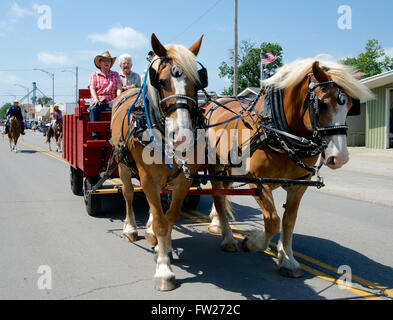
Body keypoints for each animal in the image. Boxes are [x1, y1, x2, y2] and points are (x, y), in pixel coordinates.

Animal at [108, 33, 204, 292]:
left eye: (197, 82)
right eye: (160, 81)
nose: (183, 137)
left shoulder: (183, 181)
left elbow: (169, 217)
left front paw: (165, 249)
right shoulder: (147, 178)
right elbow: (161, 221)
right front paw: (164, 270)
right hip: (122, 165)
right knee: (129, 194)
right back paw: (131, 229)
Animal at [204, 59, 372, 278]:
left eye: (351, 106)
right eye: (322, 103)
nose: (340, 157)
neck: (278, 131)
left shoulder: (299, 184)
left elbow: (289, 221)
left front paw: (287, 259)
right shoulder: (258, 182)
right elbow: (273, 221)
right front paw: (253, 242)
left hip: (228, 168)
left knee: (222, 195)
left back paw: (217, 223)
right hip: (215, 166)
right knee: (218, 196)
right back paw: (228, 238)